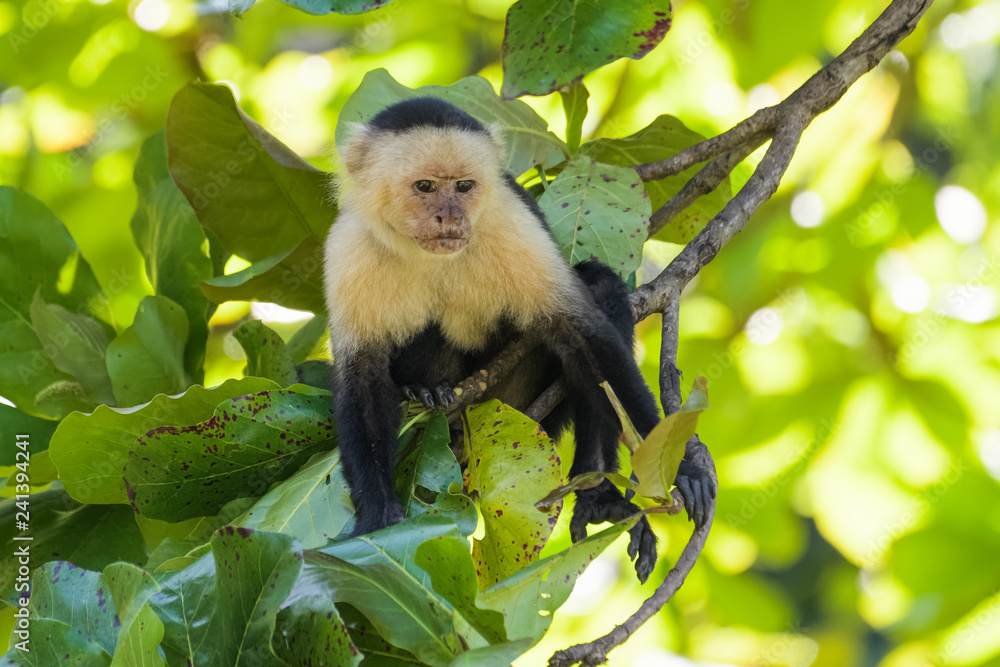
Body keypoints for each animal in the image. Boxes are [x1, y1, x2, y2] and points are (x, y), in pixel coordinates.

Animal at [323, 97, 715, 582]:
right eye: (425, 186)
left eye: (464, 186)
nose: (451, 216)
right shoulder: (347, 247)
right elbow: (362, 377)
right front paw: (378, 517)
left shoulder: (509, 220)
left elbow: (581, 335)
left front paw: (678, 467)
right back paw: (427, 391)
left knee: (598, 292)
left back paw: (597, 487)